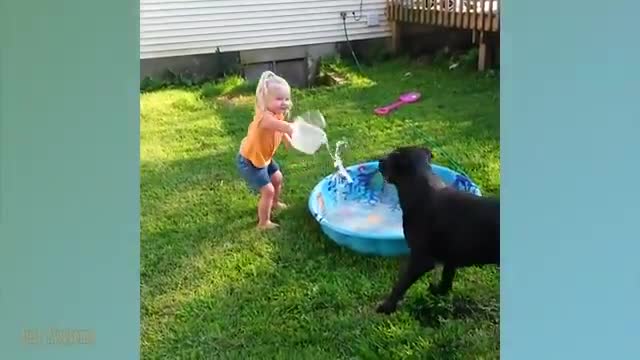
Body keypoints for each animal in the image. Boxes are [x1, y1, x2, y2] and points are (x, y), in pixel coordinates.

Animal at [376, 145, 500, 314]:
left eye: (392, 156)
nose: (379, 160)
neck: (422, 189)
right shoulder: (451, 256)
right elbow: (446, 280)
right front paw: (437, 291)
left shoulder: (421, 259)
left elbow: (400, 284)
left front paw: (386, 307)